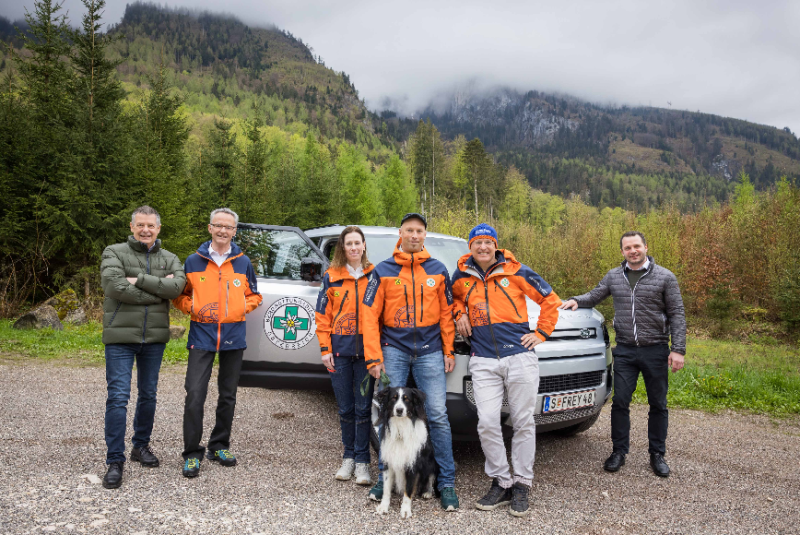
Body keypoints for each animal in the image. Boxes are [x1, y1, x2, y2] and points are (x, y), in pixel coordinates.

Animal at [376, 390, 438, 520]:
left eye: (407, 399)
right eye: (393, 398)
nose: (399, 410)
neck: (400, 429)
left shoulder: (412, 465)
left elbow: (408, 490)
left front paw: (405, 510)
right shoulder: (389, 463)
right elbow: (386, 489)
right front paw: (383, 507)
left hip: (431, 462)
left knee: (431, 477)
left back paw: (427, 492)